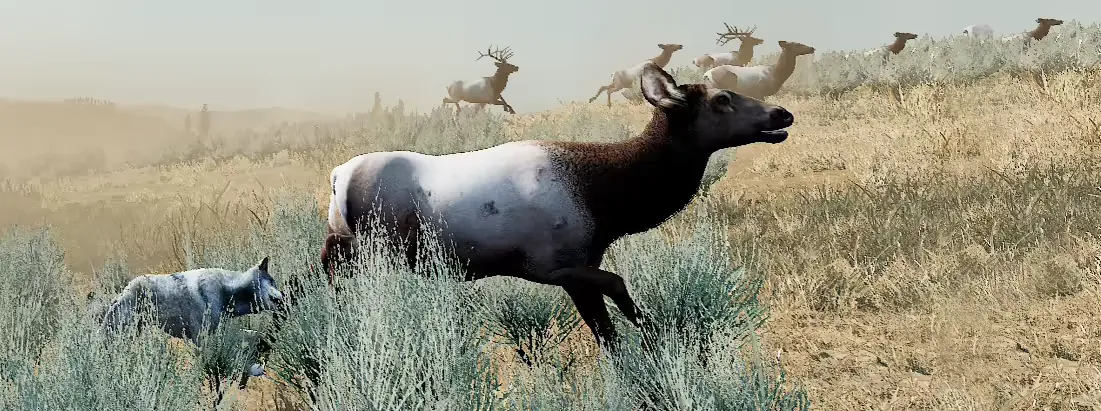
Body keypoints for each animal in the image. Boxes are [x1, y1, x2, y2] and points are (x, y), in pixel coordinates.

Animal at [321, 62, 795, 350]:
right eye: (721, 99)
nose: (782, 114)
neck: (608, 199)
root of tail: (337, 178)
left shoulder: (579, 268)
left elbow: (606, 334)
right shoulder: (552, 265)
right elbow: (618, 290)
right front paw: (655, 334)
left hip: (349, 243)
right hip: (373, 248)